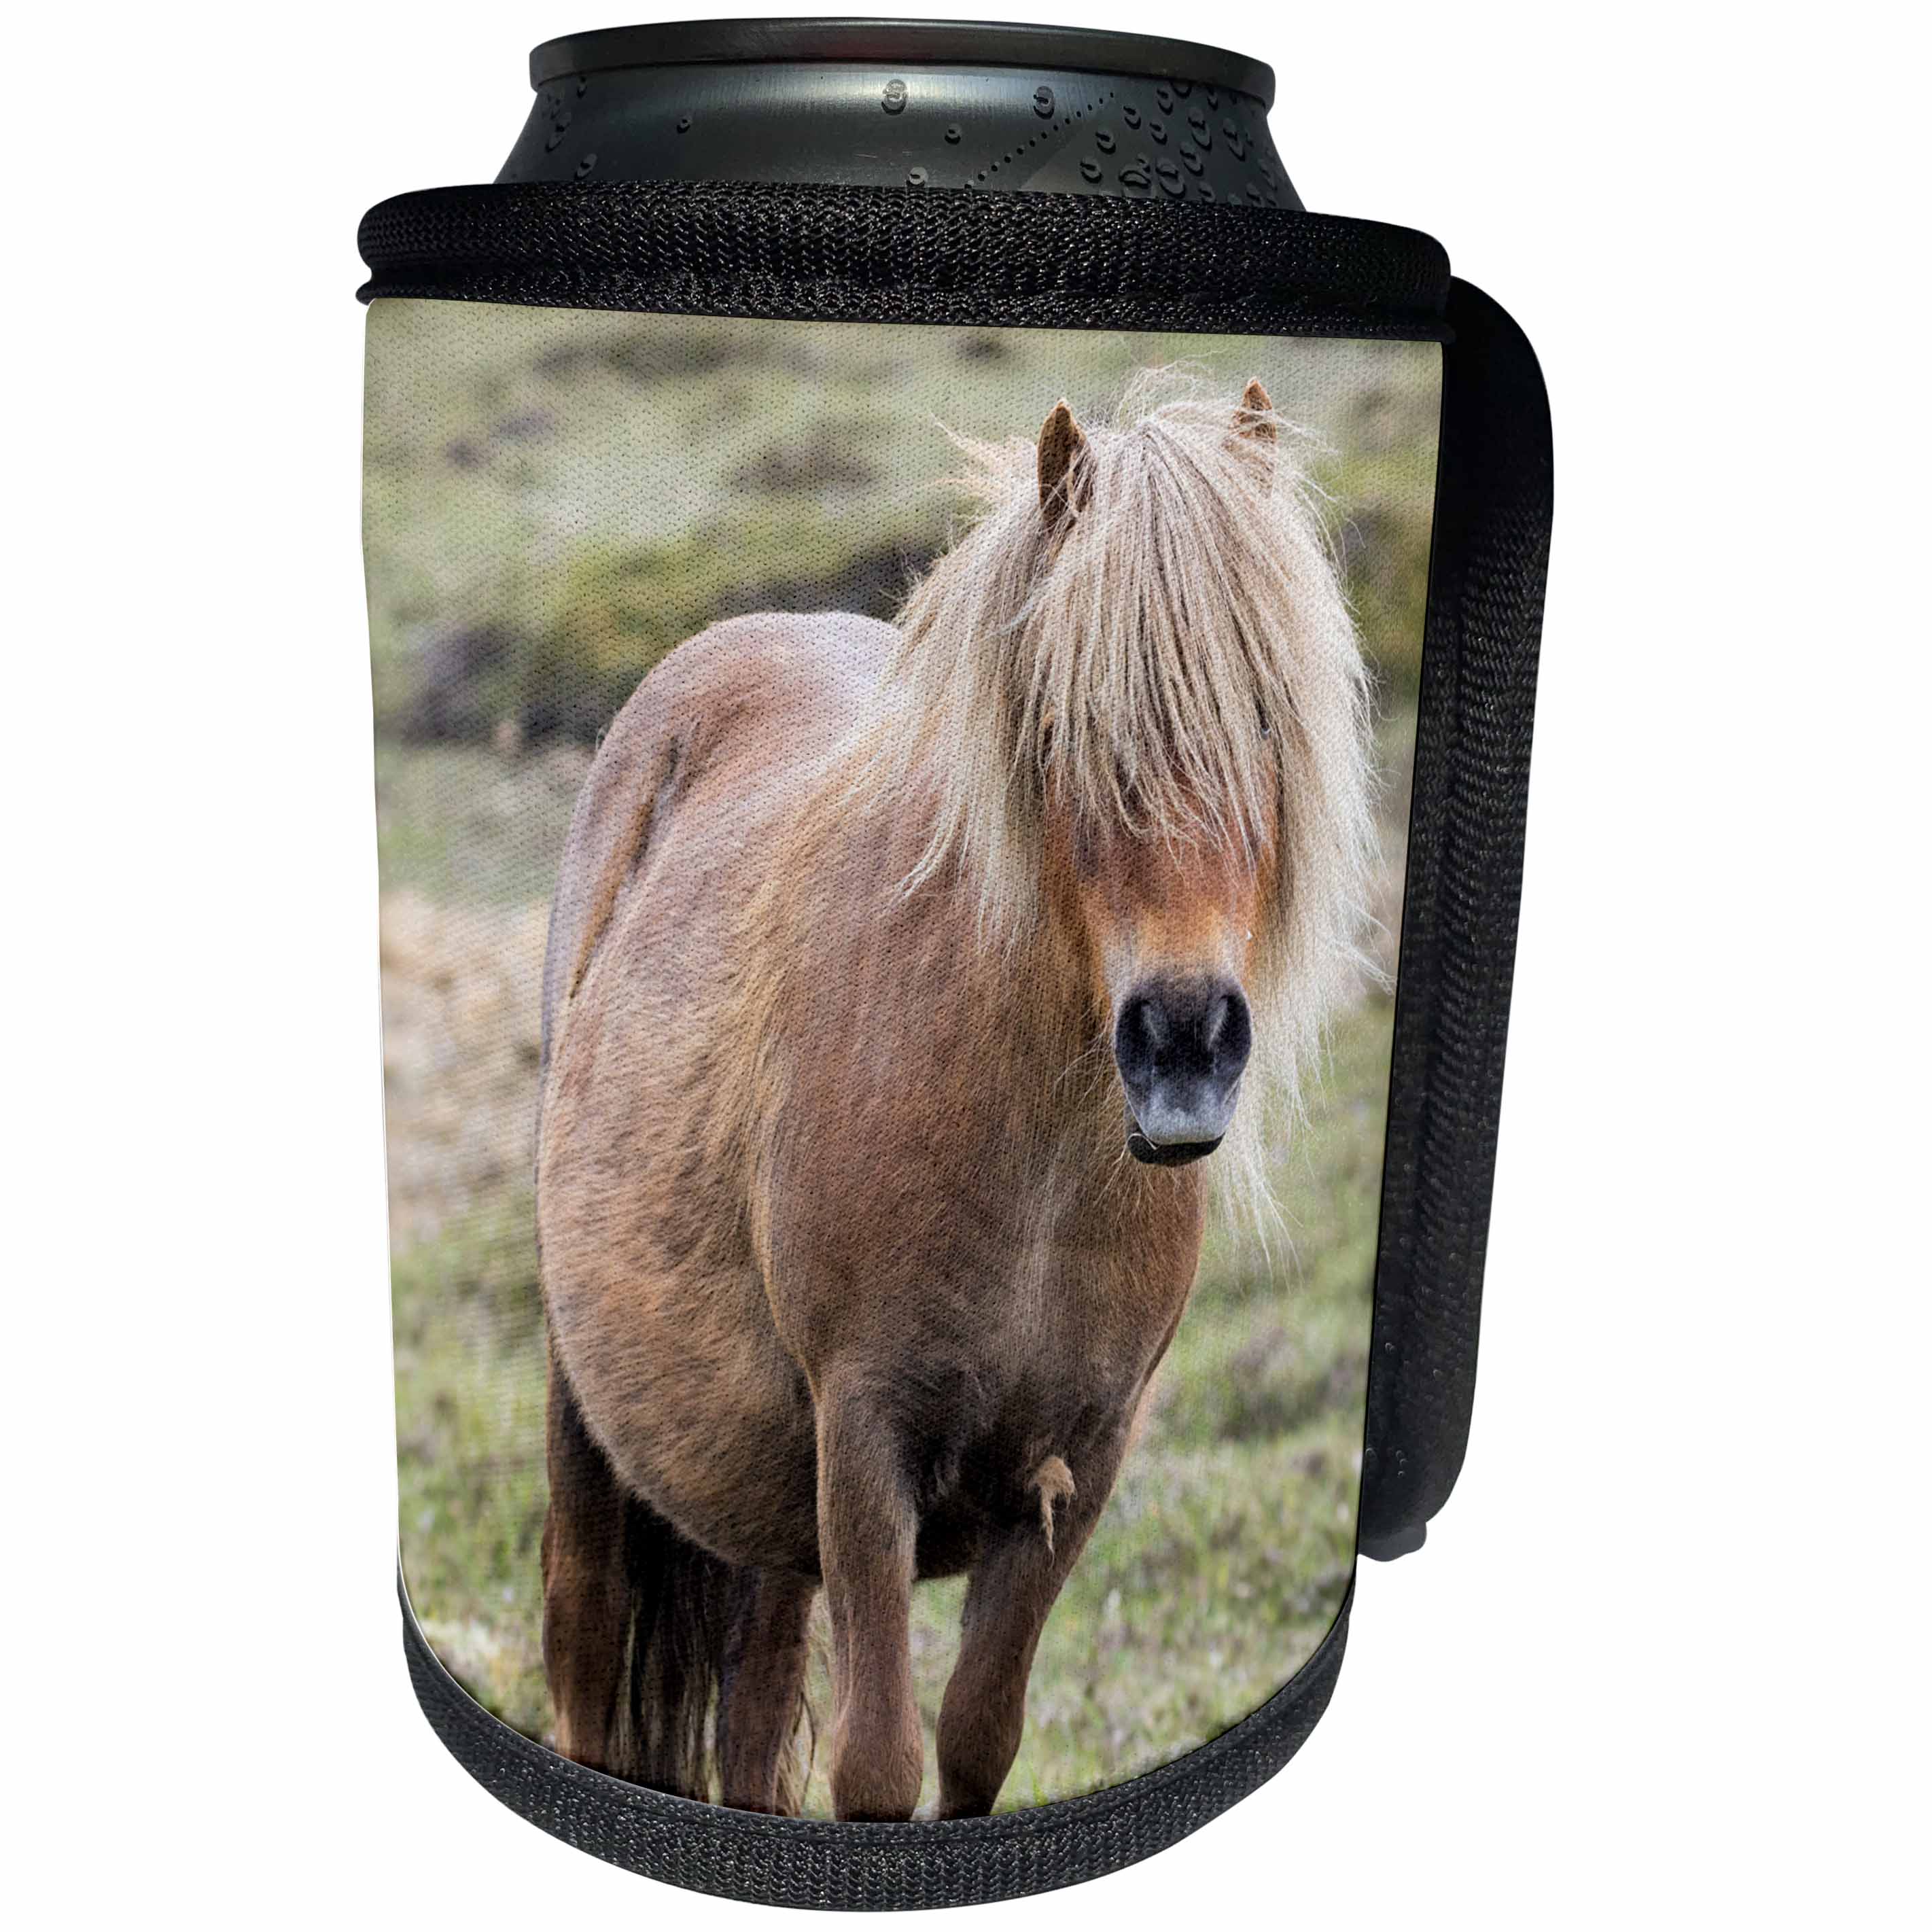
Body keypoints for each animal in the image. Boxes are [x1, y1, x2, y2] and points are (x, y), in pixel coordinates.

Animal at [533, 370, 1375, 1821]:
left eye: (1267, 717)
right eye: (1065, 726)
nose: (1182, 1037)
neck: (1034, 1167)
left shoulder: (1077, 1467)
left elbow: (979, 1736)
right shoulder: (865, 1444)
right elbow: (880, 1764)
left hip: (772, 1530)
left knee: (749, 1725)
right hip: (599, 1437)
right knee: (589, 1678)